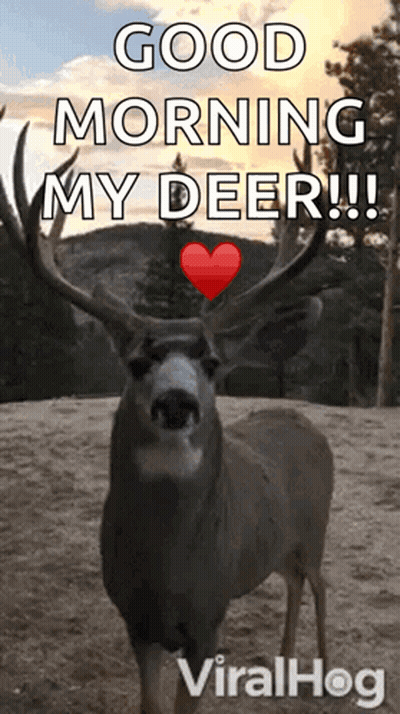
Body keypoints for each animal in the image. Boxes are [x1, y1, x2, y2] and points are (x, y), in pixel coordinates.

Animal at [0, 108, 334, 714]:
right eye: (136, 361)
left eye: (213, 362)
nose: (176, 402)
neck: (169, 570)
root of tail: (304, 423)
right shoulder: (136, 622)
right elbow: (150, 704)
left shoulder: (208, 620)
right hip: (279, 544)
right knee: (293, 581)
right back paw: (282, 660)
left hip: (316, 527)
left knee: (319, 582)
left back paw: (322, 667)